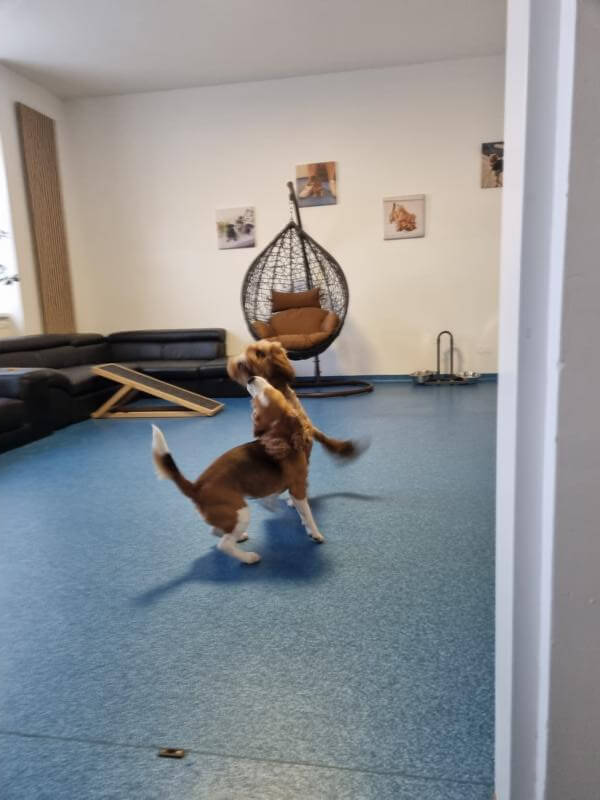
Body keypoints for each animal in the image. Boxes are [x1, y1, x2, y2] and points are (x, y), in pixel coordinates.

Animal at [151, 376, 323, 565]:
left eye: (263, 394)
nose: (251, 378)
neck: (281, 436)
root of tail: (196, 487)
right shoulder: (298, 487)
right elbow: (307, 514)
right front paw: (315, 533)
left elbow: (282, 502)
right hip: (241, 512)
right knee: (224, 544)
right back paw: (248, 557)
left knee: (216, 532)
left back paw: (238, 537)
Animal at [227, 340, 363, 461]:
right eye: (245, 352)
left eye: (259, 353)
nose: (237, 362)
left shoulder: (303, 417)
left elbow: (321, 435)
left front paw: (339, 446)